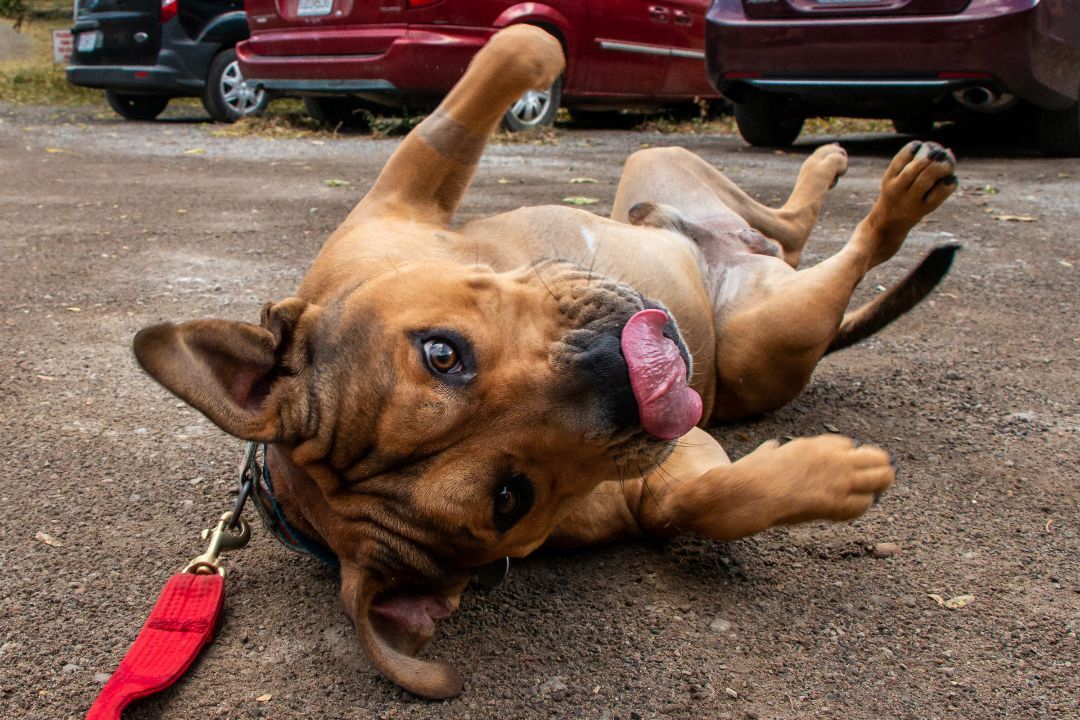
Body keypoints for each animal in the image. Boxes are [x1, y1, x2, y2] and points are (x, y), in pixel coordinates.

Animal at [132, 26, 954, 699]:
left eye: (443, 353)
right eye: (509, 498)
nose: (626, 380)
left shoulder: (406, 185)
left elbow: (509, 54)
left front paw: (541, 50)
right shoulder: (662, 466)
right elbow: (696, 503)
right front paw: (832, 475)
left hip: (663, 164)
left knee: (781, 221)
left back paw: (842, 162)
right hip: (772, 334)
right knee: (843, 250)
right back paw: (900, 194)